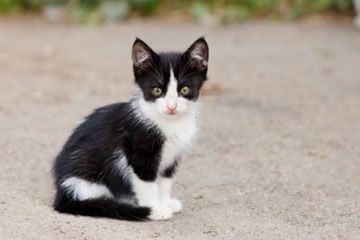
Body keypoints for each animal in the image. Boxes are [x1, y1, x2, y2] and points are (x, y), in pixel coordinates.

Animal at [51, 36, 208, 220]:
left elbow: (165, 180)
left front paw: (166, 202)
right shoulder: (140, 151)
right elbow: (147, 182)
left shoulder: (172, 156)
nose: (172, 107)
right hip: (87, 165)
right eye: (157, 90)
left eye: (184, 89)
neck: (170, 123)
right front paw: (155, 208)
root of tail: (62, 190)